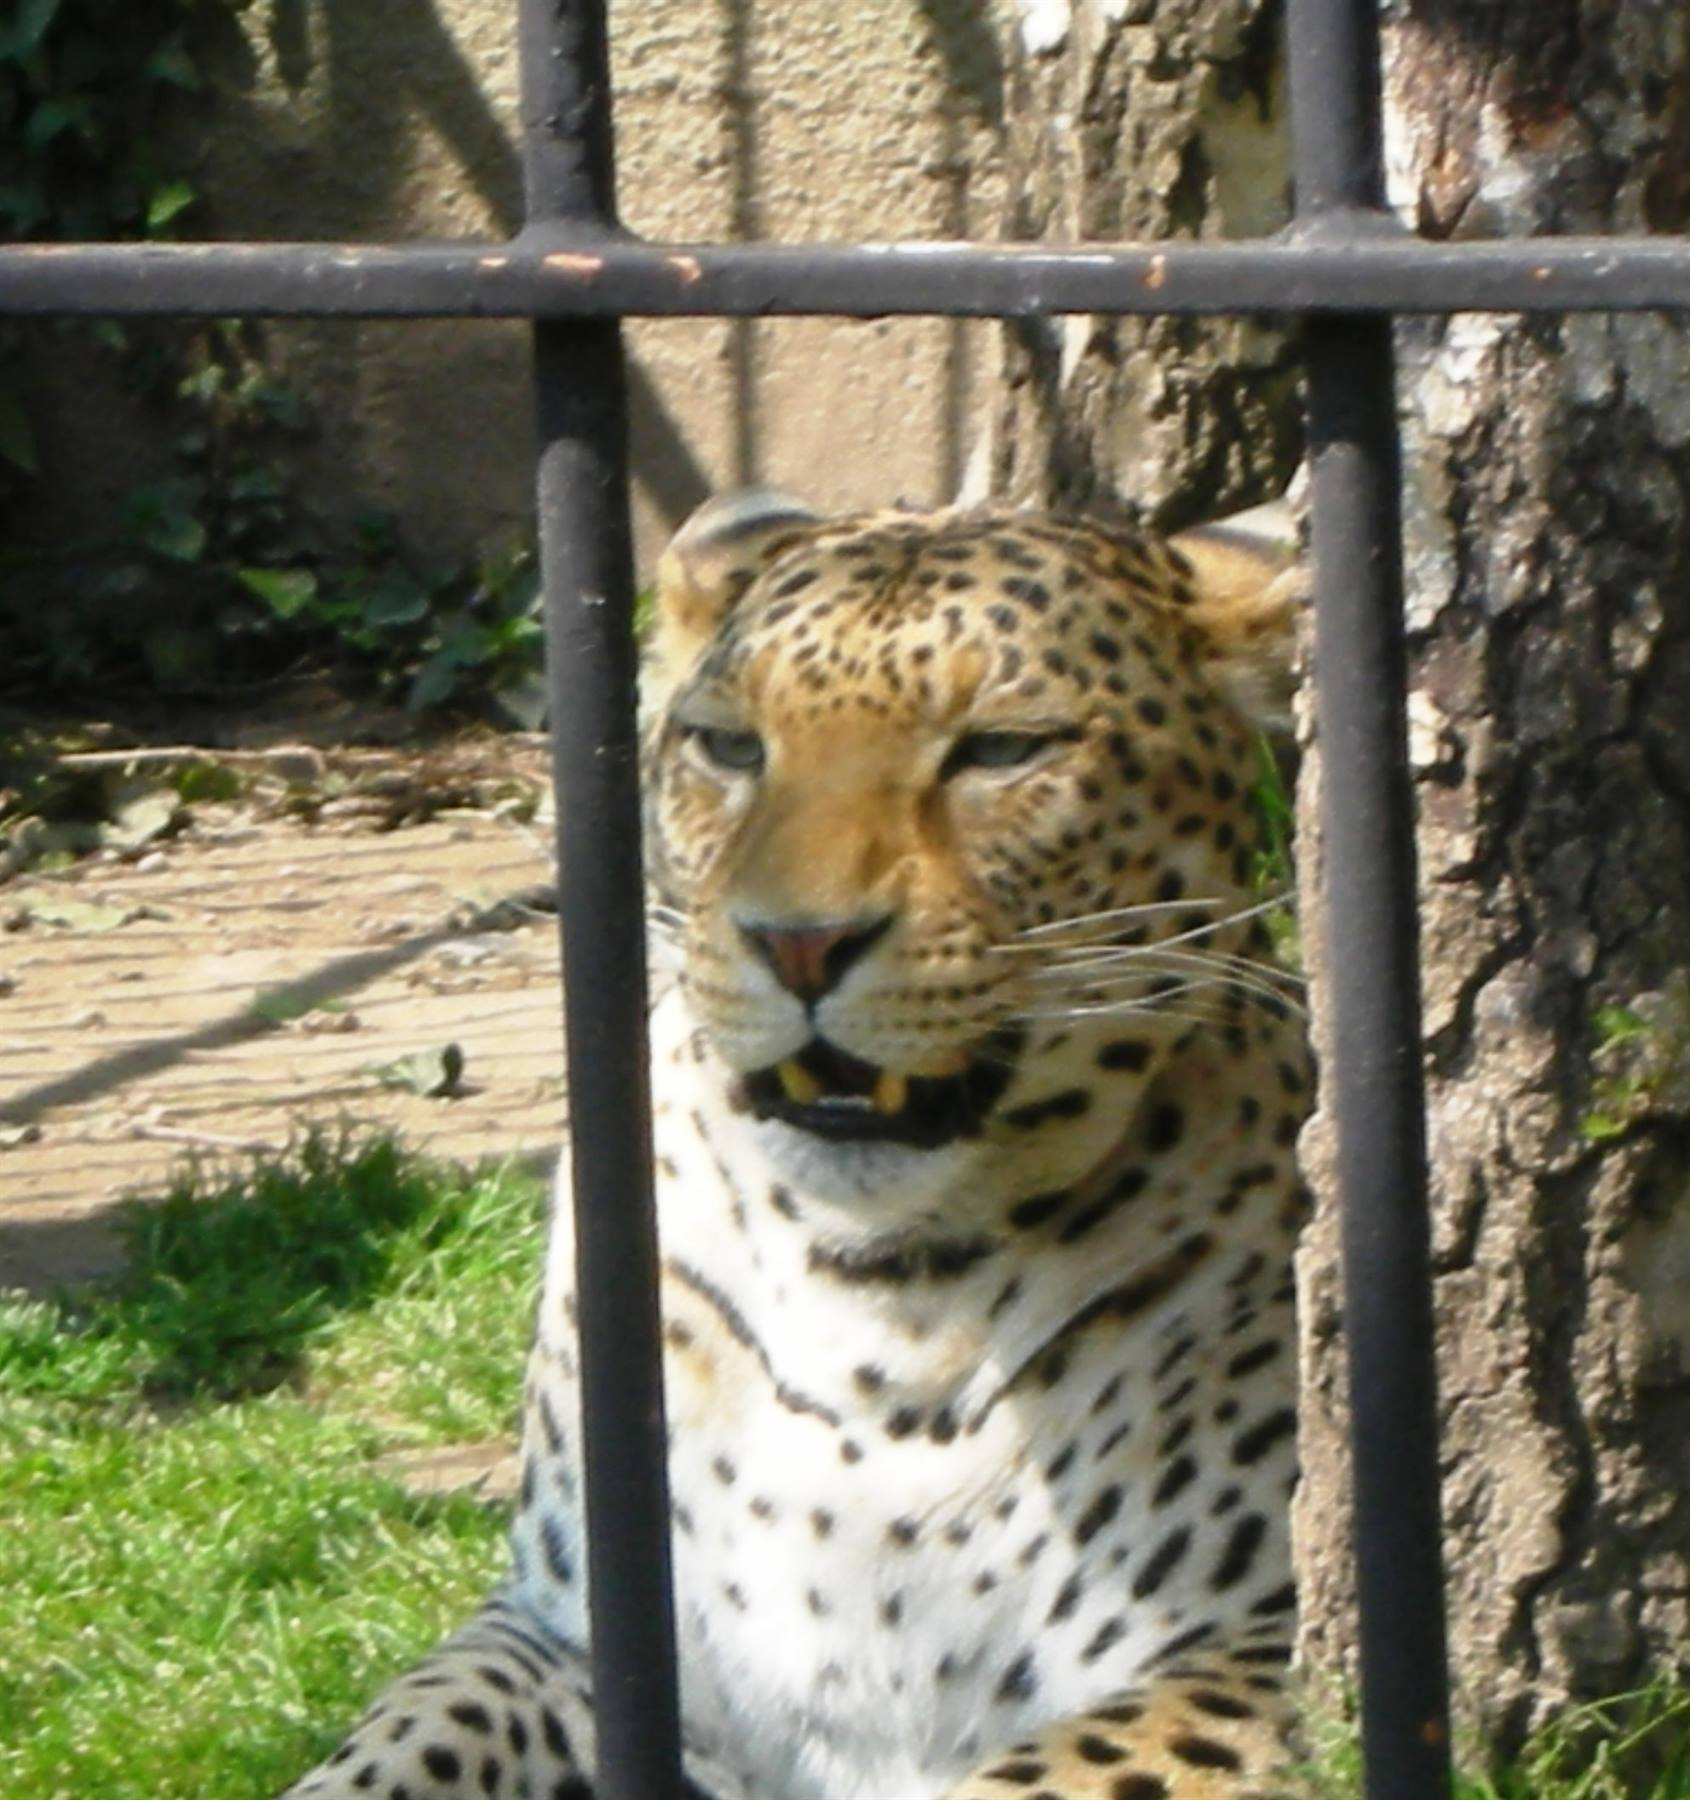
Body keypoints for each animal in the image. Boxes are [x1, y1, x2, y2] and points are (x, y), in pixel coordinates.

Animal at [283, 488, 1310, 1800]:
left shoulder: (1257, 1644)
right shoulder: (571, 1638)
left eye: (1003, 750)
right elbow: (399, 1742)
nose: (799, 943)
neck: (878, 1297)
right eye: (729, 747)